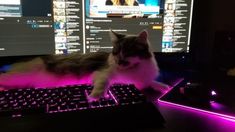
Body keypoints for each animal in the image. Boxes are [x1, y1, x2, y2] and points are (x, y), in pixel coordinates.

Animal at [0, 29, 170, 100]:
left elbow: (151, 82)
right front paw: (95, 96)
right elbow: (103, 83)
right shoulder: (102, 73)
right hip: (20, 76)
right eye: (116, 52)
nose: (118, 62)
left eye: (128, 53)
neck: (134, 69)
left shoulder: (142, 80)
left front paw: (163, 86)